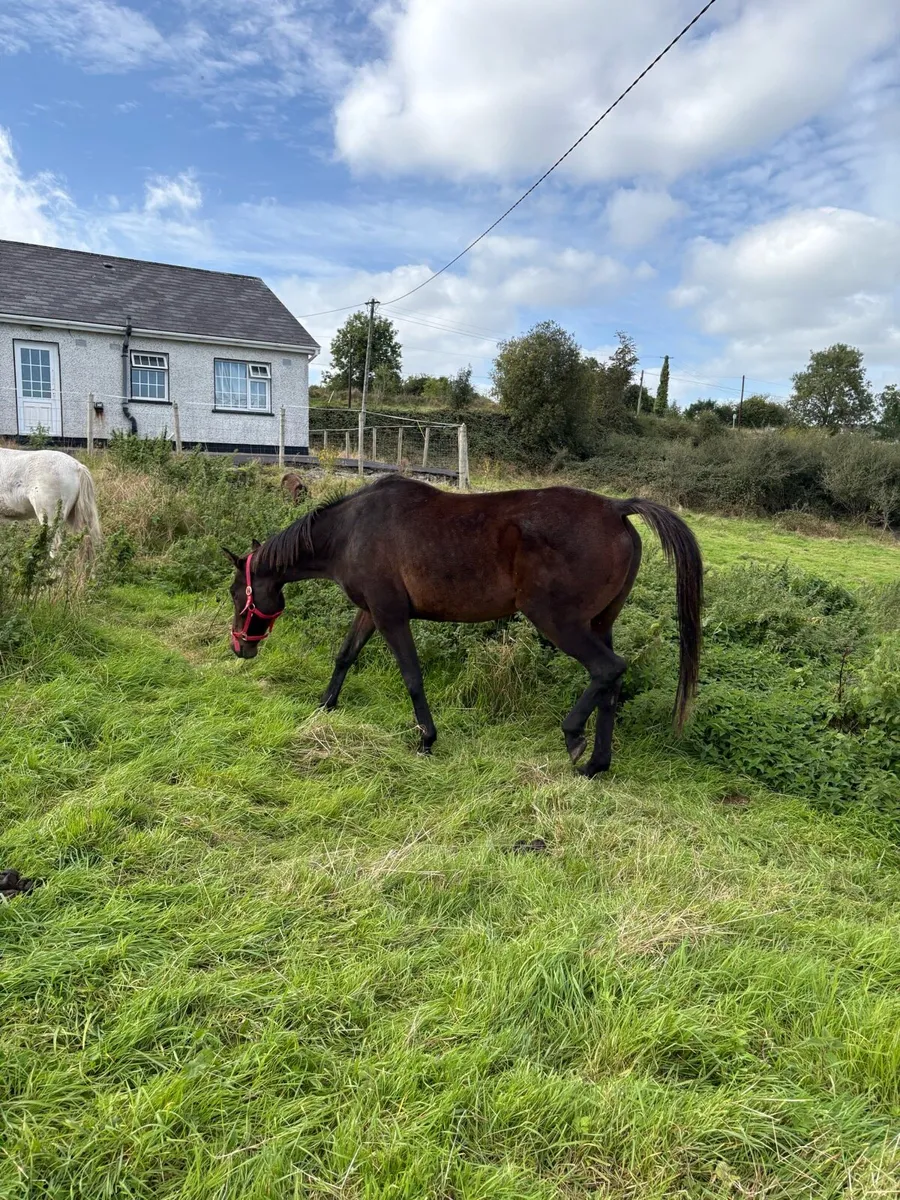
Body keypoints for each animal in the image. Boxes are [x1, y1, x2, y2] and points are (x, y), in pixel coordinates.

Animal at [224, 475, 703, 777]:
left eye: (234, 593)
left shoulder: (391, 615)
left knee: (608, 669)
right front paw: (324, 705)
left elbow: (412, 677)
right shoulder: (372, 612)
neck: (351, 530)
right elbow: (345, 655)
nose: (240, 647)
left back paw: (573, 737)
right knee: (611, 683)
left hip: (559, 621)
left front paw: (426, 739)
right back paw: (596, 764)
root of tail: (616, 508)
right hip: (599, 622)